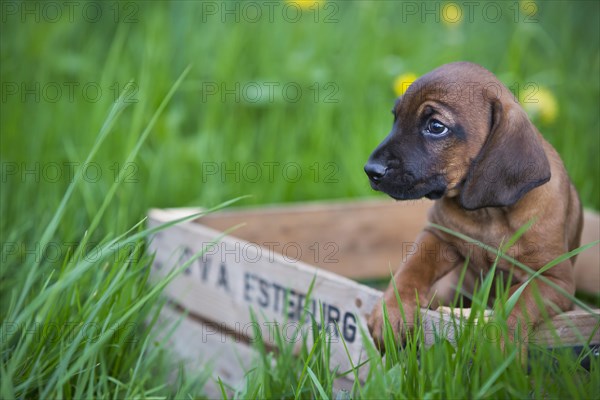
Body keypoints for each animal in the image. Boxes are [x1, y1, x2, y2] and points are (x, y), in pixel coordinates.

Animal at [364, 61, 584, 348]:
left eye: (436, 126)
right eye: (396, 118)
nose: (371, 170)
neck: (488, 213)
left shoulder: (554, 280)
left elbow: (519, 300)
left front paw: (498, 346)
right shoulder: (438, 236)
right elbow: (409, 270)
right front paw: (391, 312)